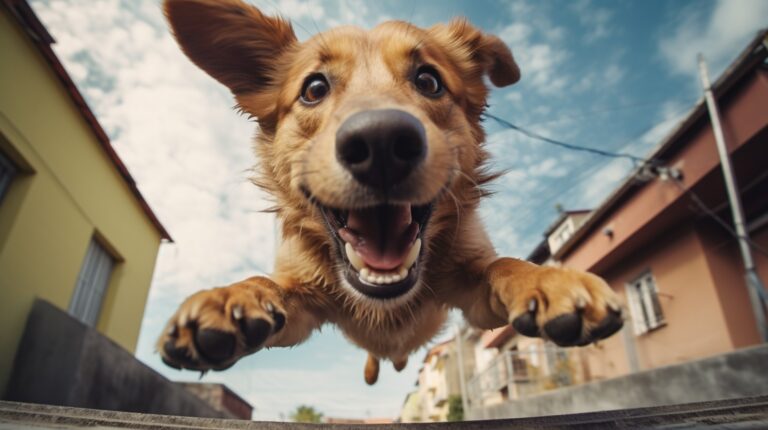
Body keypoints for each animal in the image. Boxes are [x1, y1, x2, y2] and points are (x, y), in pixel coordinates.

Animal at [156, 0, 624, 382]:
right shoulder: (302, 303)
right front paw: (232, 297)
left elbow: (504, 265)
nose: (380, 143)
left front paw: (548, 280)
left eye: (429, 81)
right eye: (314, 88)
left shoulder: (473, 291)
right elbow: (269, 284)